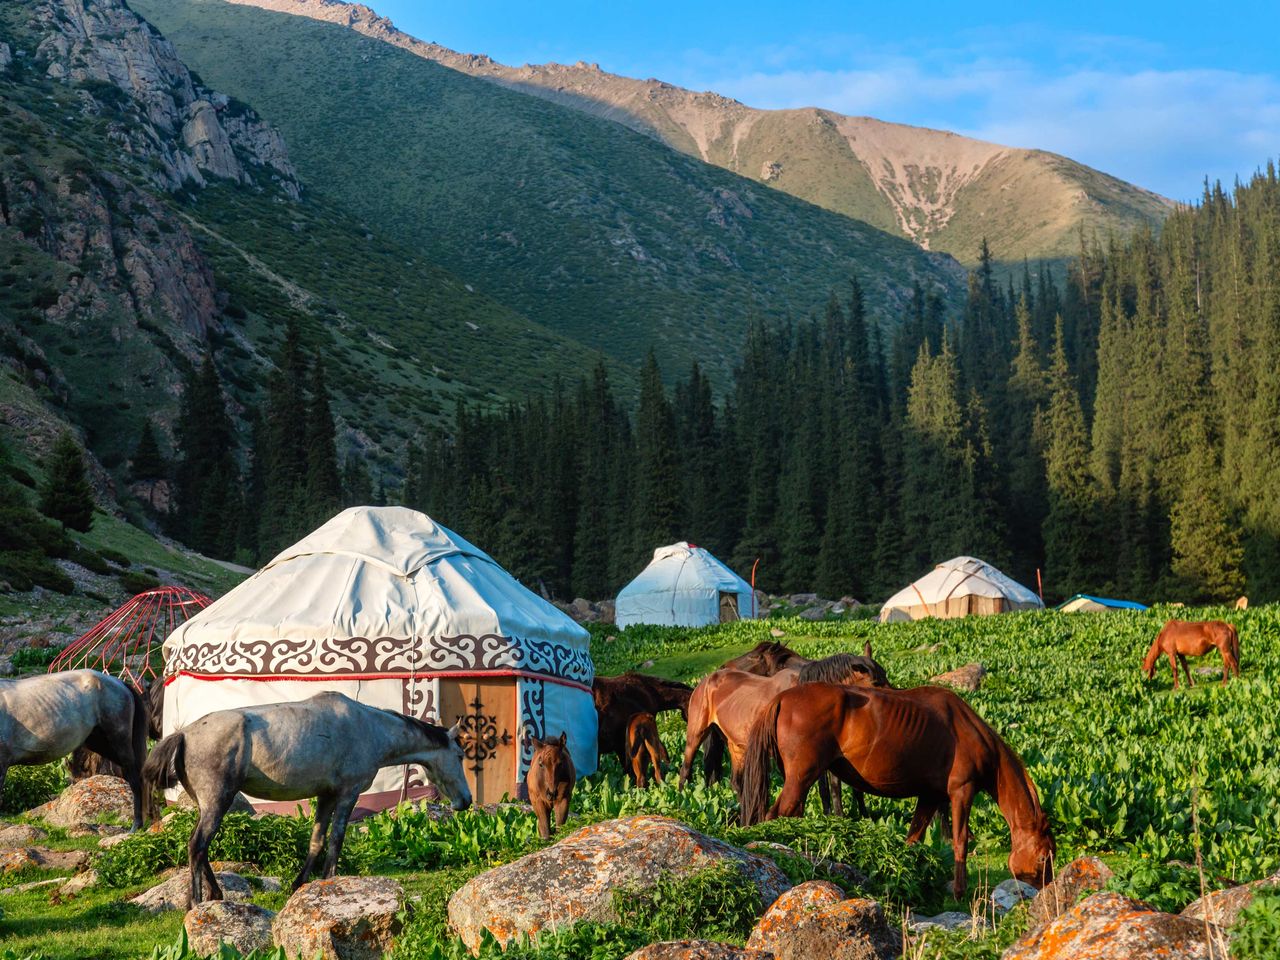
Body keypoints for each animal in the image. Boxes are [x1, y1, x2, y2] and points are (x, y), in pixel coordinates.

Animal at [142, 690, 471, 904]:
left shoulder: (326, 796)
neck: (369, 728)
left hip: (208, 805)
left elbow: (316, 841)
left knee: (201, 848)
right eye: (459, 754)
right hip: (217, 801)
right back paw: (196, 902)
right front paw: (331, 880)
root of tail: (184, 734)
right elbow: (336, 840)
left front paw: (299, 884)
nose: (466, 801)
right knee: (197, 845)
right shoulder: (348, 794)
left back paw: (215, 895)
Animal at [738, 682, 1055, 899]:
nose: (1048, 892)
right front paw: (959, 892)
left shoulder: (930, 797)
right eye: (1044, 856)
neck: (970, 731)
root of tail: (782, 698)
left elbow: (913, 839)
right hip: (801, 777)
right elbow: (960, 841)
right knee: (777, 814)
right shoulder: (961, 793)